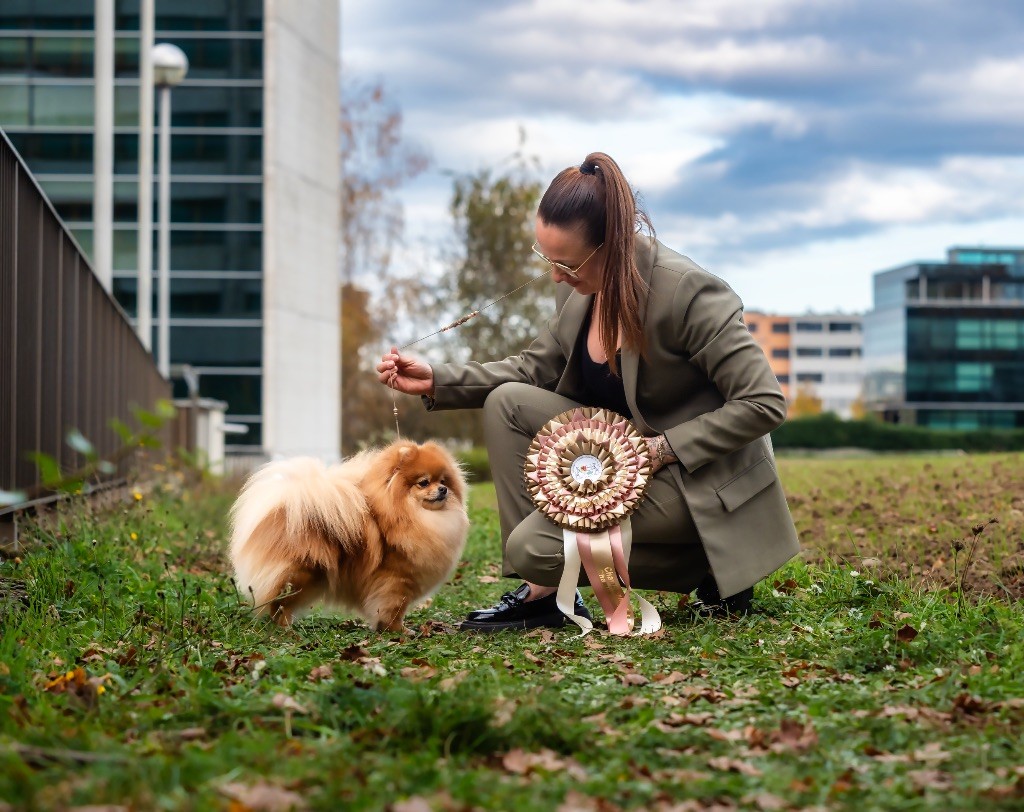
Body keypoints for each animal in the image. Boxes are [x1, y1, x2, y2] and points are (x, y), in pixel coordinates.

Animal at [228, 440, 468, 630]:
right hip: (301, 574)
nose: (443, 490)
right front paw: (398, 631)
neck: (412, 516)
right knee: (280, 603)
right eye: (424, 482)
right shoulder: (395, 580)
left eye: (443, 481)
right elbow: (394, 609)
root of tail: (283, 508)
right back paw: (286, 628)